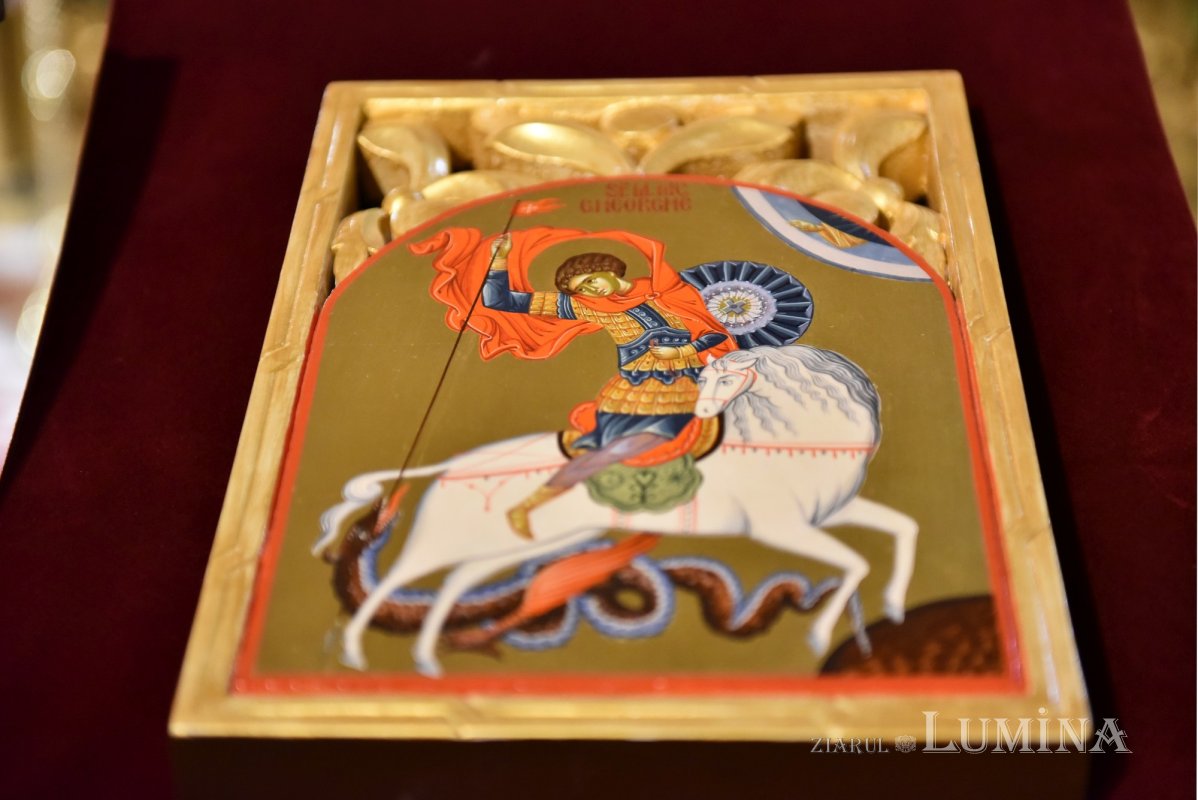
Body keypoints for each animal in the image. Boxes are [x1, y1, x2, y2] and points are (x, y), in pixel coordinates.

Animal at [314, 344, 918, 676]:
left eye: (726, 377)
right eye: (707, 377)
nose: (703, 411)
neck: (782, 443)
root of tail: (457, 463)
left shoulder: (823, 517)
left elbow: (902, 529)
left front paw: (891, 605)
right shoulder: (782, 528)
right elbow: (857, 562)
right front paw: (821, 635)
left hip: (517, 546)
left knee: (454, 585)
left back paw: (427, 656)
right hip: (448, 535)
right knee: (399, 579)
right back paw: (353, 649)